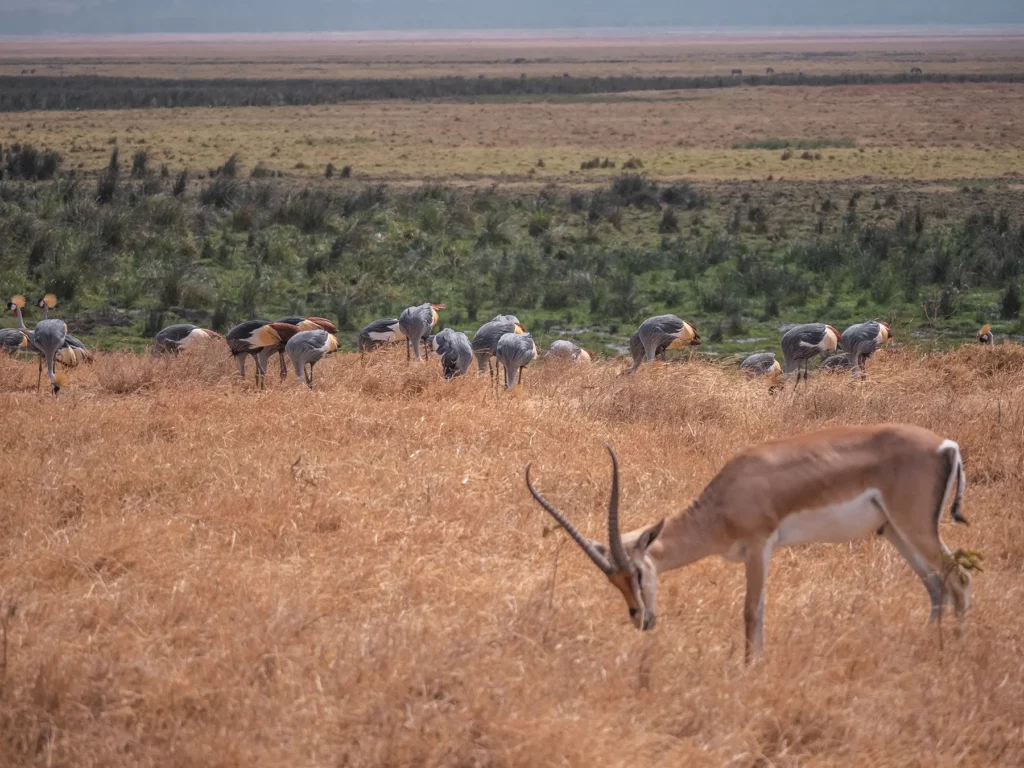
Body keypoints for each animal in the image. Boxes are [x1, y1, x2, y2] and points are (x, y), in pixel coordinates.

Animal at [525, 424, 974, 662]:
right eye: (612, 581)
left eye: (637, 572)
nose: (641, 619)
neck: (726, 498)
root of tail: (945, 445)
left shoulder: (760, 547)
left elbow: (750, 611)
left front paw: (749, 667)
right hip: (894, 531)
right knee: (935, 585)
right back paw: (928, 645)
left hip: (915, 528)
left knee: (959, 579)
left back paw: (954, 648)